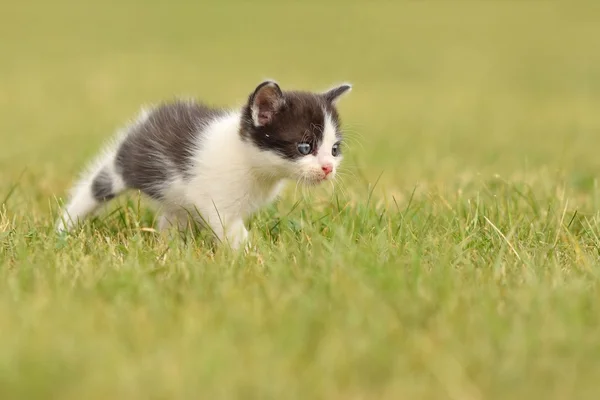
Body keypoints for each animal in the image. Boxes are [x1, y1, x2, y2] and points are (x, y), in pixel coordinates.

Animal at [56, 80, 352, 248]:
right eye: (305, 147)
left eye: (334, 149)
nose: (328, 168)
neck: (249, 161)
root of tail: (147, 118)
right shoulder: (216, 201)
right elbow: (230, 229)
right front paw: (254, 257)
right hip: (127, 165)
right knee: (96, 186)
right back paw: (63, 228)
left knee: (172, 214)